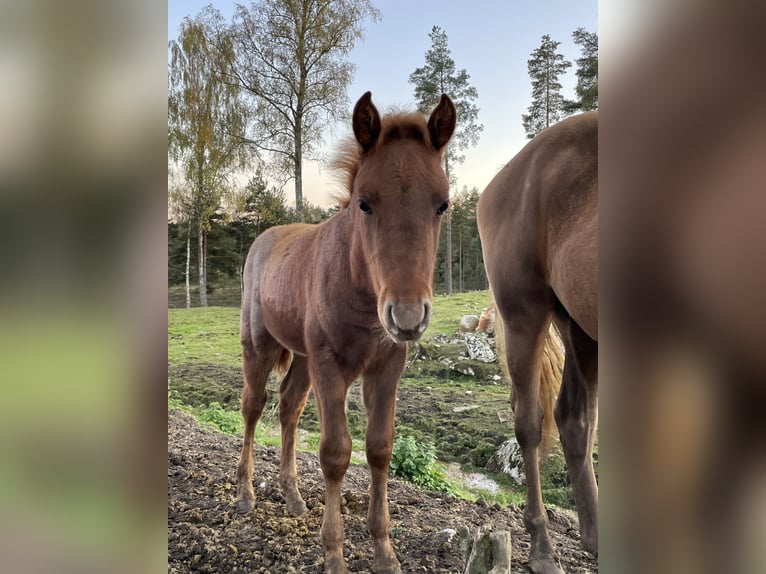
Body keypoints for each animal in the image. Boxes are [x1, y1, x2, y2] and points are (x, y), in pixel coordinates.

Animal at [236, 91, 456, 574]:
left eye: (443, 204)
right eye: (364, 203)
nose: (407, 317)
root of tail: (264, 238)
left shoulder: (387, 366)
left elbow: (379, 448)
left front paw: (384, 551)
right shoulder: (329, 365)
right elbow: (336, 452)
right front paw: (334, 553)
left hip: (302, 359)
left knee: (288, 408)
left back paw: (293, 495)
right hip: (261, 346)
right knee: (253, 407)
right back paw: (244, 493)